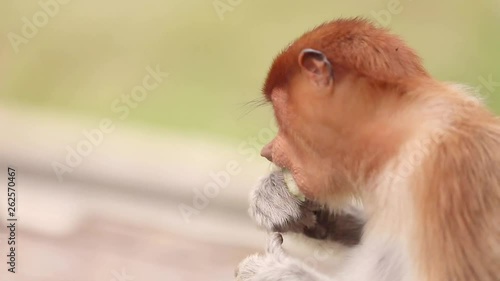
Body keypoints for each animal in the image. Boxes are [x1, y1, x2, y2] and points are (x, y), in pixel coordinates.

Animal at [234, 17, 500, 280]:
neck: (402, 133)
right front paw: (277, 198)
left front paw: (267, 271)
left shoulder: (444, 167)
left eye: (279, 113)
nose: (268, 151)